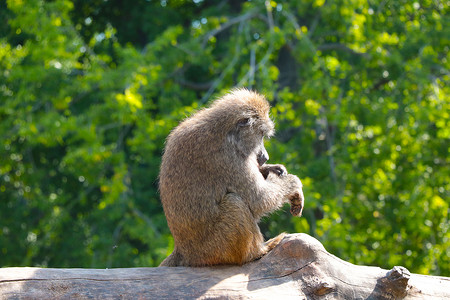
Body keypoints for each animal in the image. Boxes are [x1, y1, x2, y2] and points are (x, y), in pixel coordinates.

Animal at [160, 88, 304, 266]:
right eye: (261, 134)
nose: (265, 157)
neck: (225, 132)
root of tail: (183, 250)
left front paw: (272, 169)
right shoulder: (229, 158)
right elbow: (259, 200)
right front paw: (293, 182)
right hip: (214, 249)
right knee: (234, 202)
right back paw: (257, 252)